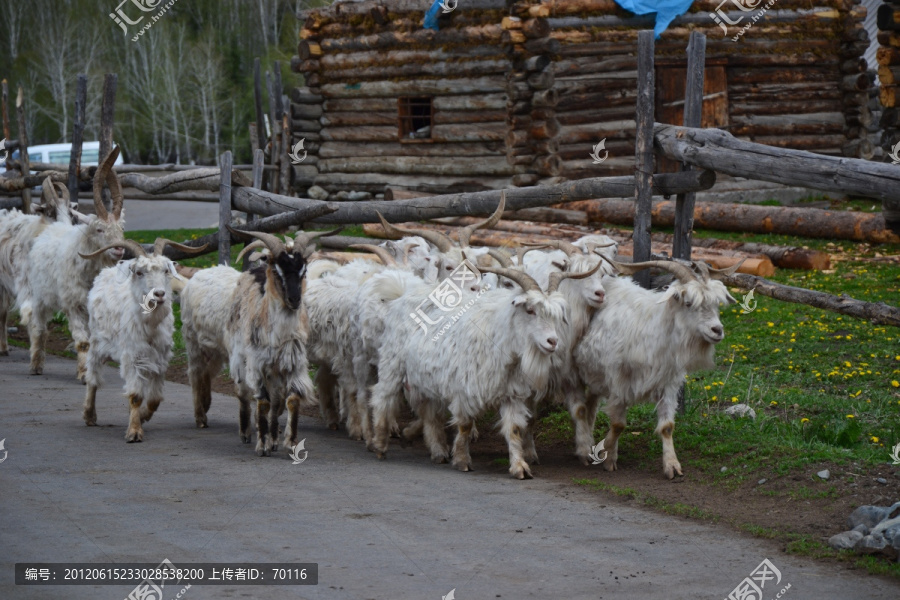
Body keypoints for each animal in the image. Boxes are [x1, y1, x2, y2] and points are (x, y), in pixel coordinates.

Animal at [81, 238, 207, 440]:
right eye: (139, 272)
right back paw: (89, 415)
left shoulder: (160, 359)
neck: (150, 327)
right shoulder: (133, 357)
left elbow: (154, 399)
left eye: (165, 270)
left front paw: (141, 417)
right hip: (98, 343)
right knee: (92, 377)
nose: (159, 294)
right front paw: (134, 431)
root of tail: (107, 271)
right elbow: (135, 396)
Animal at [576, 260, 740, 480]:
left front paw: (672, 465)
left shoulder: (668, 383)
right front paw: (607, 454)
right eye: (689, 303)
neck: (655, 331)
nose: (717, 330)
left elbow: (667, 427)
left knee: (591, 405)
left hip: (596, 377)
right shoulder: (619, 380)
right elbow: (618, 424)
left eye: (716, 304)